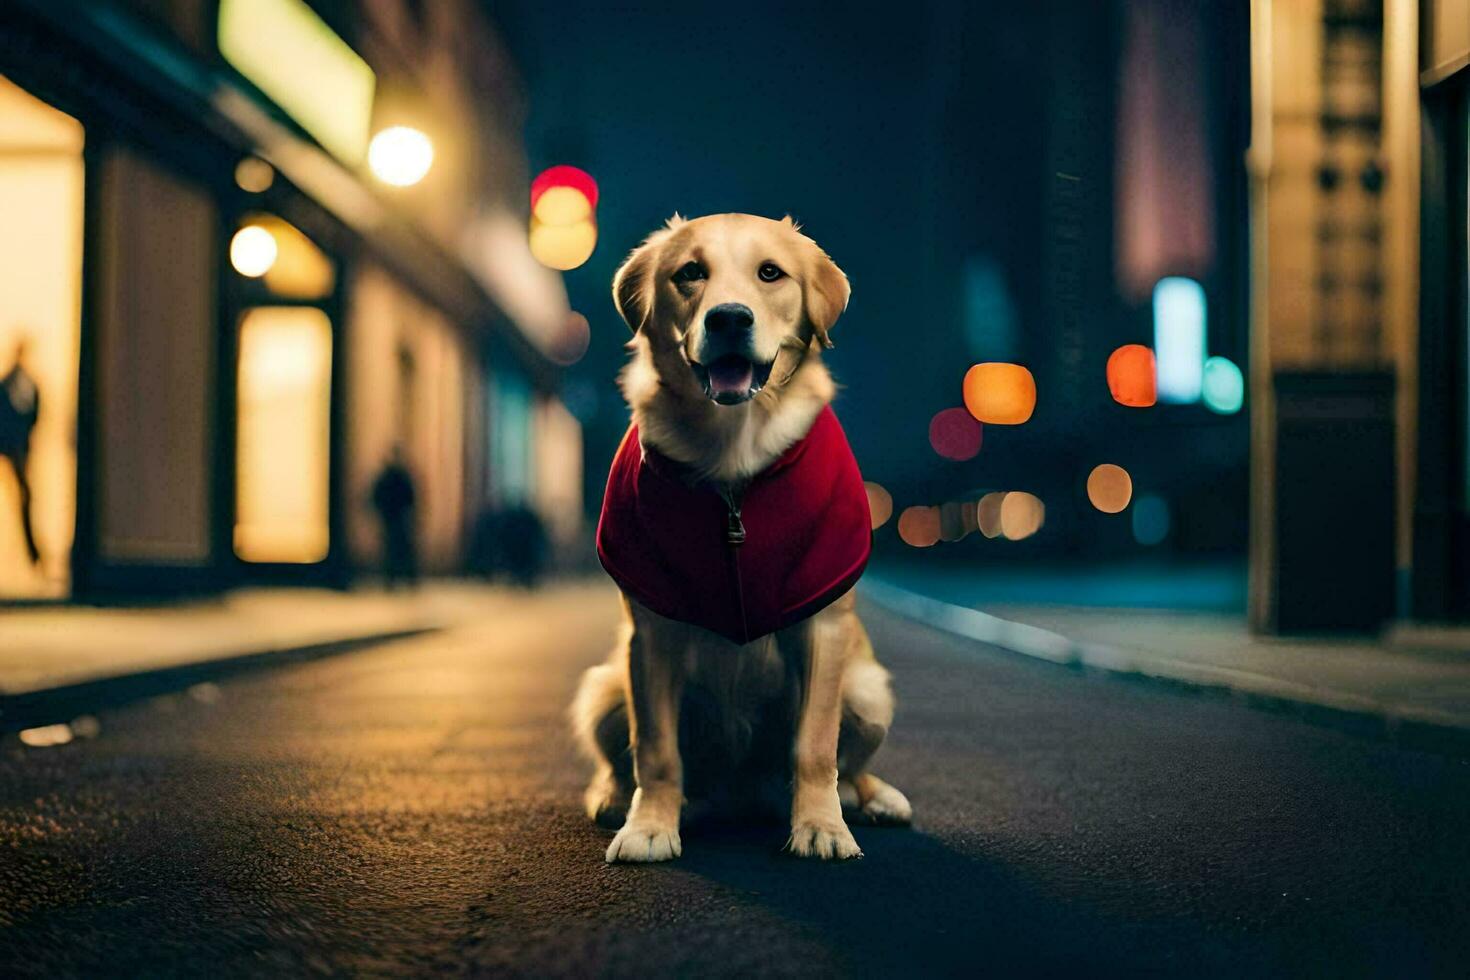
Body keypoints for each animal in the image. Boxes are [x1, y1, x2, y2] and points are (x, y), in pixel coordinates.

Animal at [570, 211, 905, 863]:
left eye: (770, 273)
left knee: (850, 766)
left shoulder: (824, 626)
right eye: (689, 273)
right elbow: (656, 749)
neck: (732, 451)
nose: (729, 317)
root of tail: (740, 796)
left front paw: (821, 827)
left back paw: (871, 798)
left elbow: (815, 747)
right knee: (625, 757)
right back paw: (616, 798)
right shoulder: (650, 632)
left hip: (868, 689)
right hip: (602, 688)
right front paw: (650, 826)